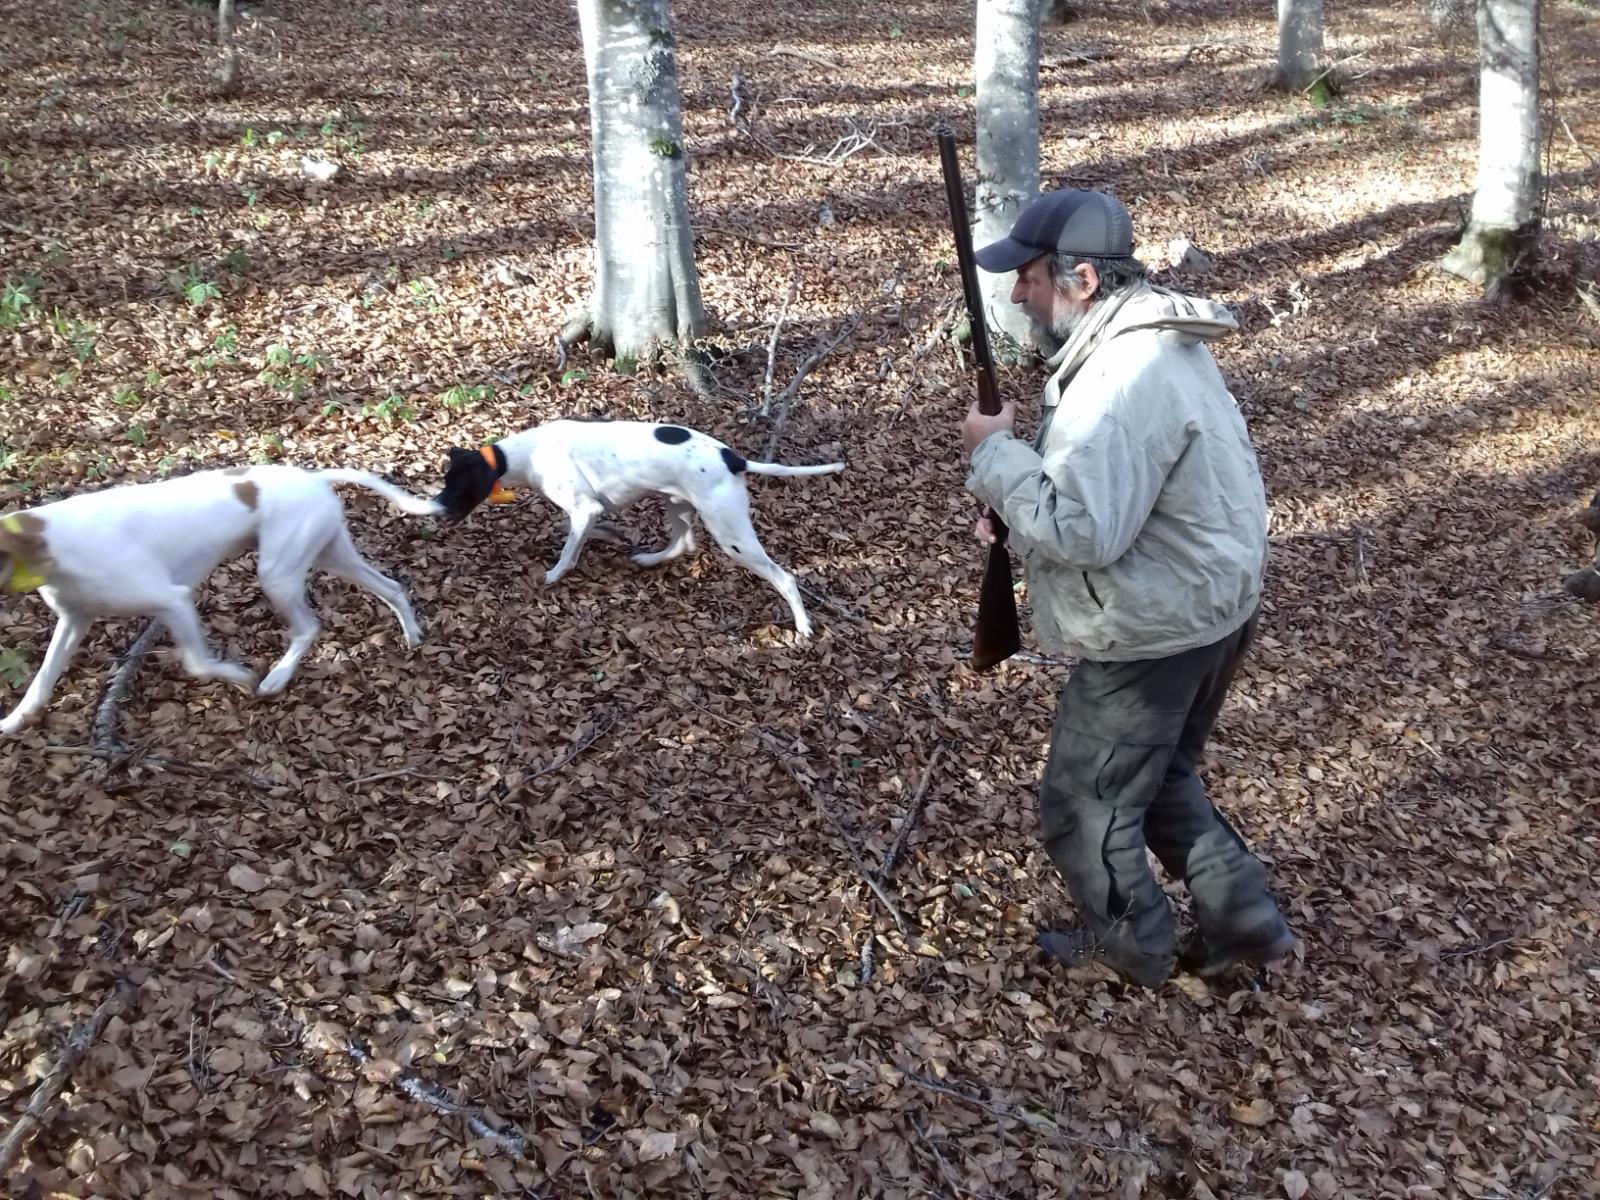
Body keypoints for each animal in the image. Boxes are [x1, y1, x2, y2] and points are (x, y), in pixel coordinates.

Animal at [0, 465, 440, 735]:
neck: (46, 540)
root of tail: (313, 477)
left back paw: (277, 676)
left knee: (309, 627)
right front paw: (16, 720)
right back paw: (412, 634)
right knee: (392, 587)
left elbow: (198, 663)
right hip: (332, 554)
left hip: (278, 573)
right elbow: (42, 680)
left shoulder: (174, 601)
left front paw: (240, 676)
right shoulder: (74, 620)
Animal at [432, 420, 844, 637]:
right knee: (682, 544)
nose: (436, 511)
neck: (524, 453)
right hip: (677, 504)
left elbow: (568, 552)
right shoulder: (586, 512)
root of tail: (734, 458)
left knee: (783, 577)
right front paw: (611, 536)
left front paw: (552, 575)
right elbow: (581, 532)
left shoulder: (584, 508)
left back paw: (803, 626)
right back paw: (647, 558)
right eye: (446, 481)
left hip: (731, 534)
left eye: (458, 487)